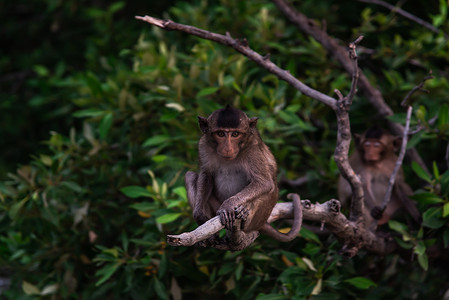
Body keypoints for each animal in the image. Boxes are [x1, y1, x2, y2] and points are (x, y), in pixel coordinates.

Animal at [184, 105, 302, 248]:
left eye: (235, 134)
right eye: (220, 134)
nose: (228, 148)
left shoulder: (252, 150)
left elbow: (264, 182)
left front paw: (228, 205)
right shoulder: (203, 145)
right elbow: (206, 175)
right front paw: (199, 215)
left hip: (257, 219)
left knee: (271, 187)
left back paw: (244, 214)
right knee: (190, 175)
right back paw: (211, 236)